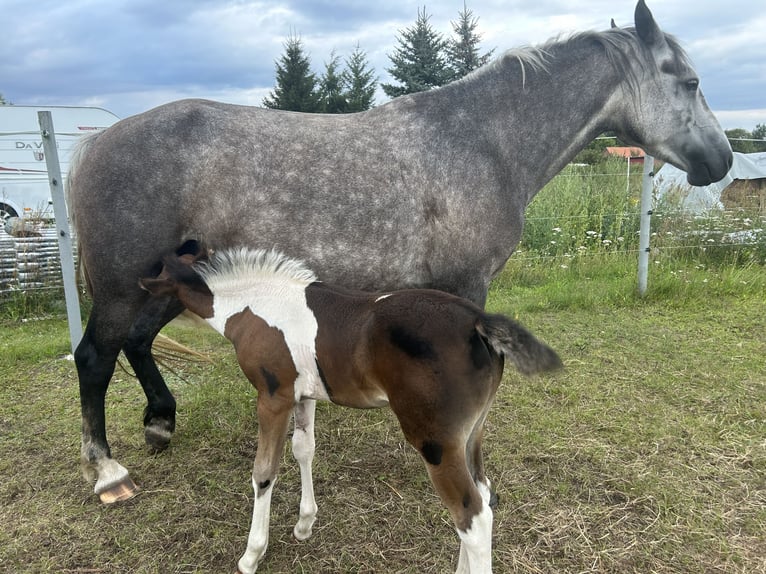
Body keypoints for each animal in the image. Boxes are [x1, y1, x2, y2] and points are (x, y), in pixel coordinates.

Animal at [141, 249, 560, 574]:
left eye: (158, 271)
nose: (140, 285)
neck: (254, 305)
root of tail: (478, 322)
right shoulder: (303, 394)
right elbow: (303, 450)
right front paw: (305, 524)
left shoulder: (272, 396)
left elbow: (264, 472)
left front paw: (251, 555)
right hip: (472, 433)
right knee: (484, 496)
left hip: (436, 442)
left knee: (472, 516)